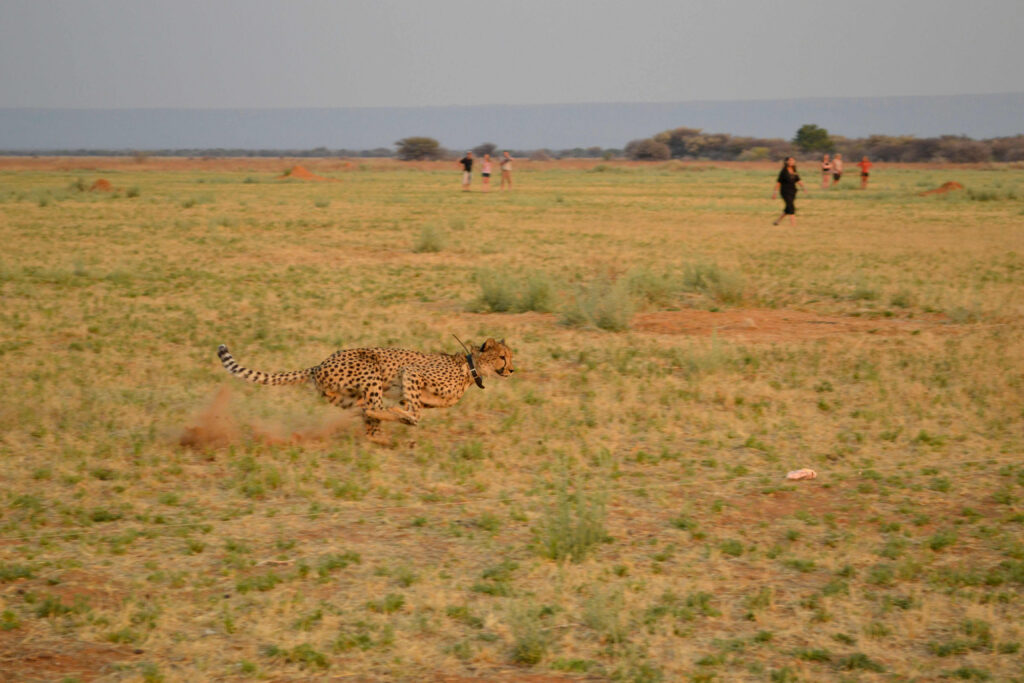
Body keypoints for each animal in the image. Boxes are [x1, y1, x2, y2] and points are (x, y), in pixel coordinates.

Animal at [216, 339, 514, 443]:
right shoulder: (411, 372)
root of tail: (319, 364)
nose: (512, 370)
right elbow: (414, 411)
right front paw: (404, 416)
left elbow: (410, 410)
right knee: (372, 408)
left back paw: (382, 435)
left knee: (367, 416)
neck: (470, 367)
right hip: (370, 370)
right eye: (503, 357)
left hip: (347, 395)